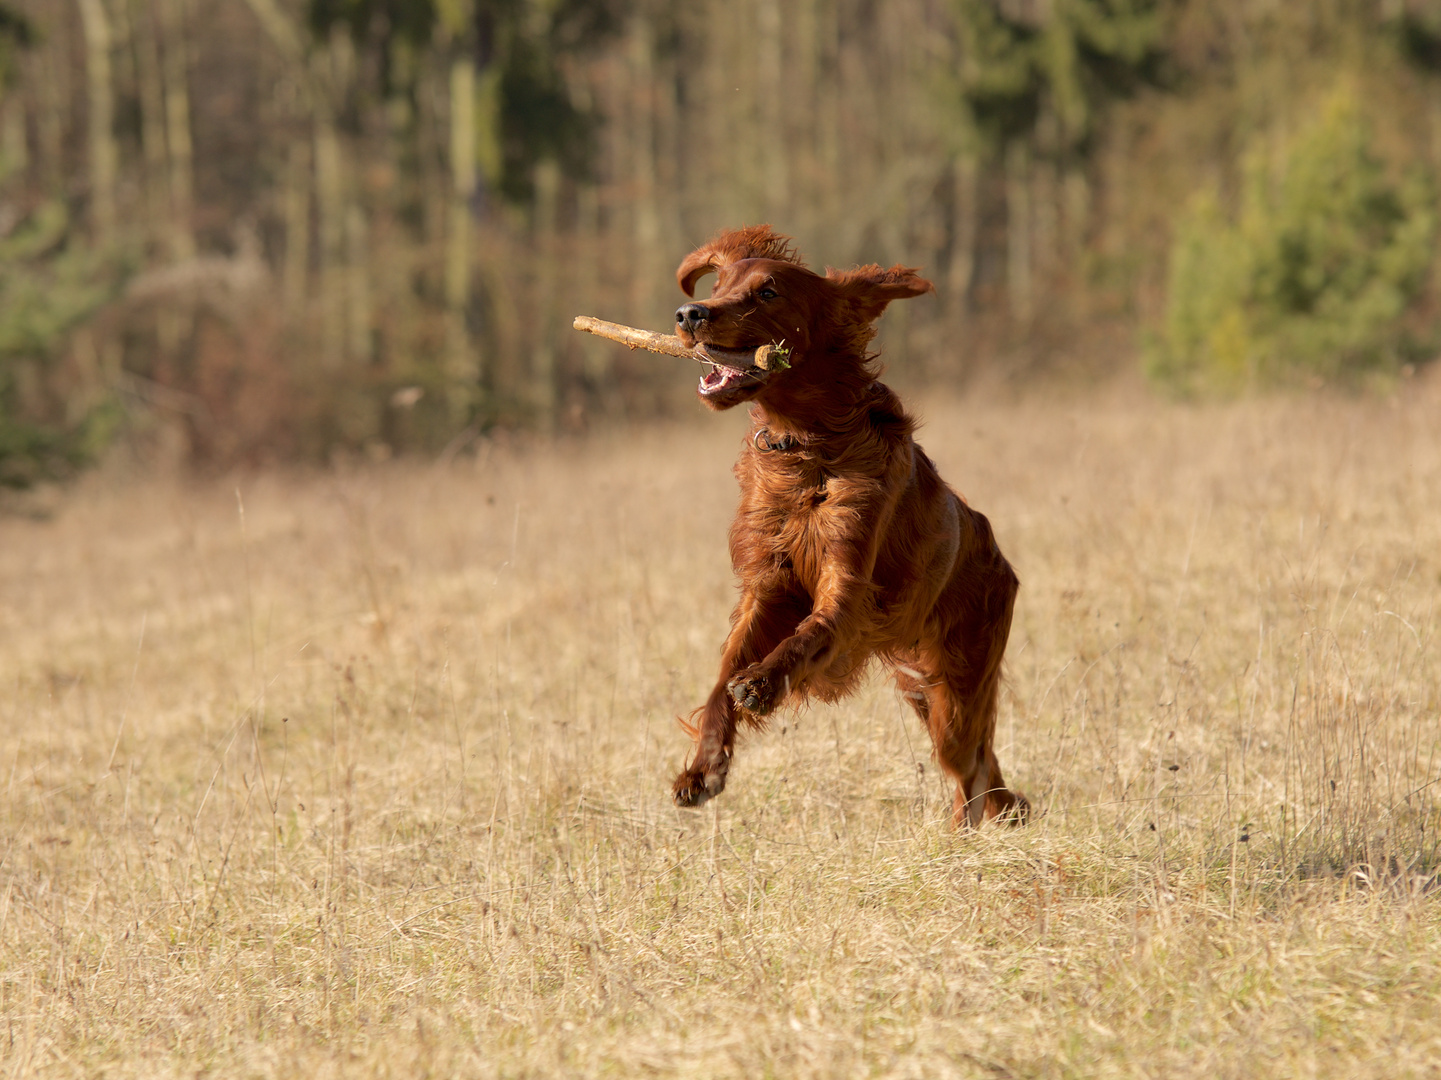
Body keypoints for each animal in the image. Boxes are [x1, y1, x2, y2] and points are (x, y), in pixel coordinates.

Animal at [665, 223, 1025, 819]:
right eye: (719, 286)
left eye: (768, 292)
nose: (690, 314)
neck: (807, 449)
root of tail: (998, 555)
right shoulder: (766, 586)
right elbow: (721, 681)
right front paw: (703, 768)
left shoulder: (847, 586)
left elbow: (812, 632)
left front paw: (762, 682)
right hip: (924, 687)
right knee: (984, 775)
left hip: (957, 685)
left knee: (975, 773)